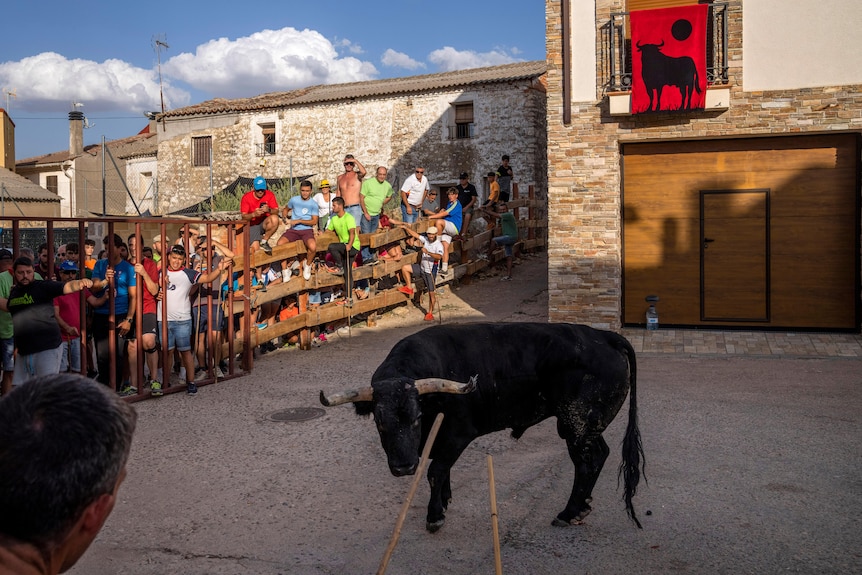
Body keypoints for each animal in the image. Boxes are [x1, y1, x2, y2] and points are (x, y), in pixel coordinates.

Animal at [320, 326, 644, 532]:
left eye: (415, 417)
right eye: (379, 421)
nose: (403, 467)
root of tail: (605, 336)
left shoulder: (457, 435)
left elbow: (436, 471)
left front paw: (434, 515)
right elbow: (443, 471)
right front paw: (445, 500)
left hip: (575, 424)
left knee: (588, 461)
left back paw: (569, 512)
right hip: (583, 427)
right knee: (598, 455)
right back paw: (581, 507)